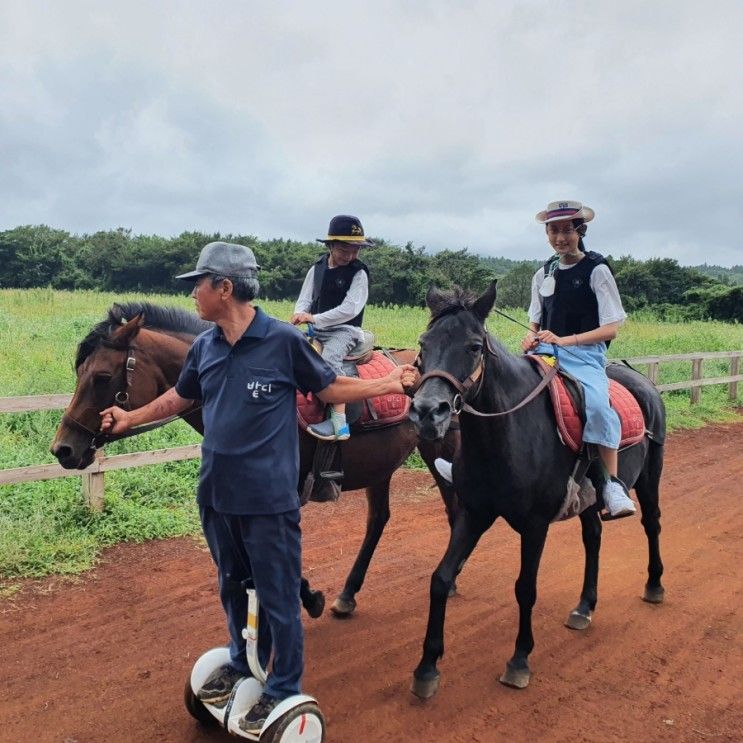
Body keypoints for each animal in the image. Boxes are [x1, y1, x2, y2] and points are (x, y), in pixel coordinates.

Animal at [50, 300, 460, 616]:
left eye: (102, 377)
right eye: (79, 371)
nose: (63, 449)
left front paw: (306, 598)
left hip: (441, 451)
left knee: (454, 507)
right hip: (383, 465)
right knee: (378, 519)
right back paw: (347, 595)